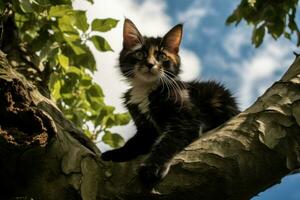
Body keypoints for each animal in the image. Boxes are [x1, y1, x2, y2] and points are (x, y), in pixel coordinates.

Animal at [101, 18, 239, 191]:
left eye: (161, 56)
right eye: (140, 54)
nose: (150, 64)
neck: (146, 89)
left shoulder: (186, 120)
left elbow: (167, 141)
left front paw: (152, 167)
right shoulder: (145, 130)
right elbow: (132, 144)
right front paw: (114, 153)